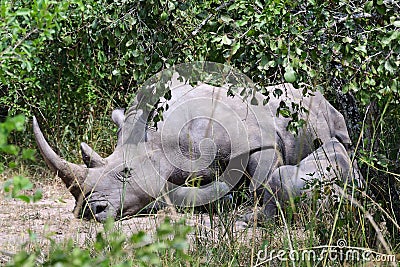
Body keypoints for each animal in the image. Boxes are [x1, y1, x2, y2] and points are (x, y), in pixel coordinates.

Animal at [32, 82, 360, 223]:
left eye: (126, 173)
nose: (90, 211)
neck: (160, 140)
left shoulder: (258, 143)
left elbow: (262, 178)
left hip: (326, 114)